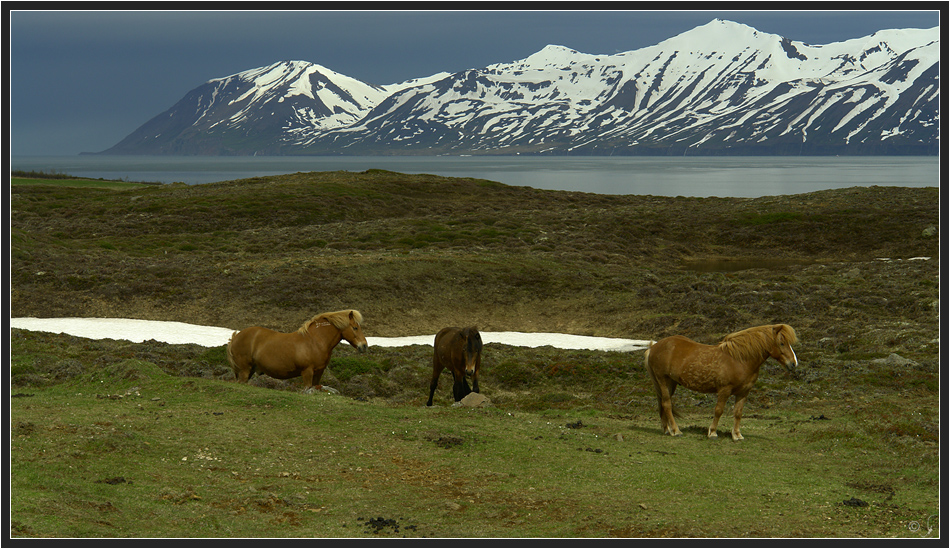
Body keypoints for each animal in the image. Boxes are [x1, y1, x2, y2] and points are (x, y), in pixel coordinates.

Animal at [227, 308, 368, 394]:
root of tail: (235, 337)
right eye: (355, 328)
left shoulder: (318, 373)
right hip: (245, 370)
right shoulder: (307, 372)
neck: (315, 341)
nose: (364, 346)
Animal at [644, 324, 800, 438]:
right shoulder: (724, 390)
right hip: (663, 380)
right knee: (667, 404)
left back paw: (667, 429)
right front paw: (712, 432)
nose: (793, 364)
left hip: (671, 383)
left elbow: (738, 413)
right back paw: (676, 431)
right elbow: (719, 410)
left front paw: (737, 435)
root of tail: (654, 347)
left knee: (663, 404)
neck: (740, 360)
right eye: (781, 343)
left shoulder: (744, 392)